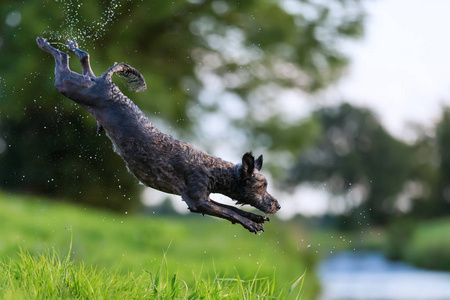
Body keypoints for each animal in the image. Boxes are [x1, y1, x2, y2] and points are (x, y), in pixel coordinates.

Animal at [37, 37, 280, 233]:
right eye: (261, 187)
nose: (278, 205)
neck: (213, 170)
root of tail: (108, 83)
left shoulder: (204, 199)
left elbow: (230, 208)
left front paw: (255, 217)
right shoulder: (197, 201)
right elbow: (230, 211)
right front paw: (250, 223)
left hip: (86, 84)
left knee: (85, 62)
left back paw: (73, 48)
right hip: (68, 86)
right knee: (62, 60)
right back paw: (45, 44)